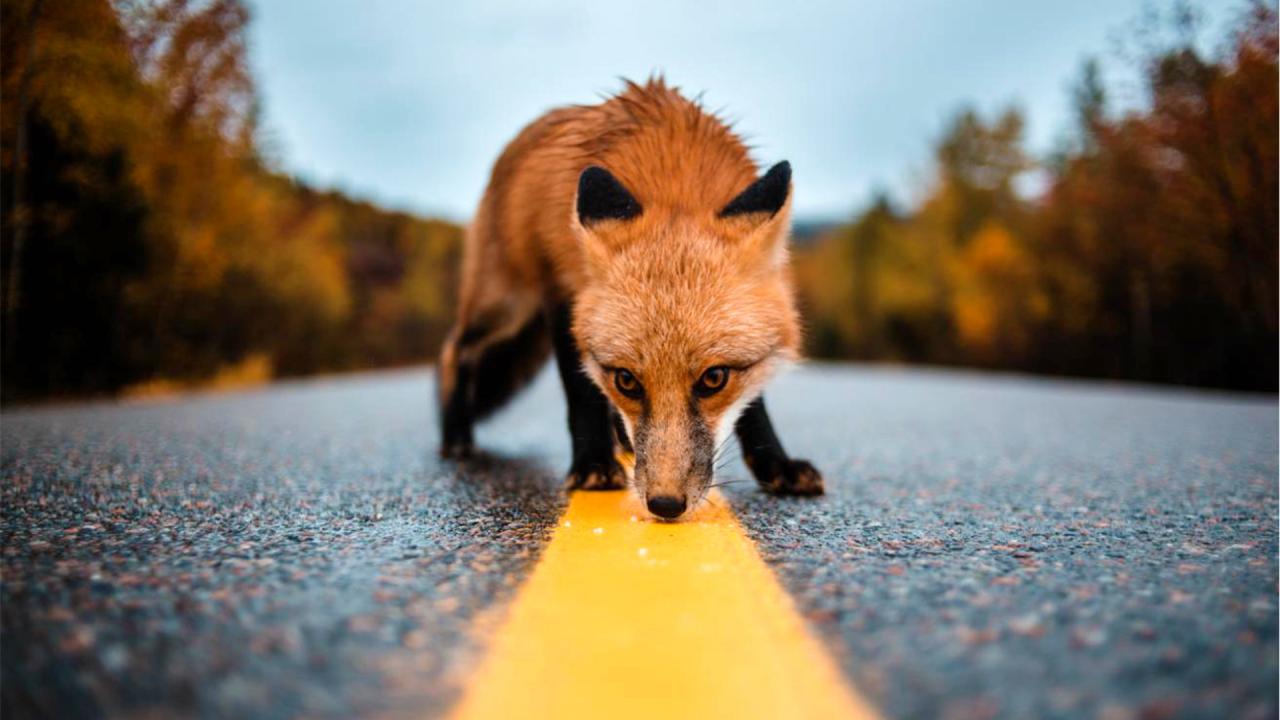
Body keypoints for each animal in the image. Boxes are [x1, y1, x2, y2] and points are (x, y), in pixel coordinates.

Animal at [435, 77, 824, 515]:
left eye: (714, 379)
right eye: (627, 380)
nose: (666, 504)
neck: (674, 176)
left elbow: (753, 404)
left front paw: (776, 464)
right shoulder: (563, 294)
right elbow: (581, 392)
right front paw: (592, 465)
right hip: (505, 305)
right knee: (454, 350)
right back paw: (456, 435)